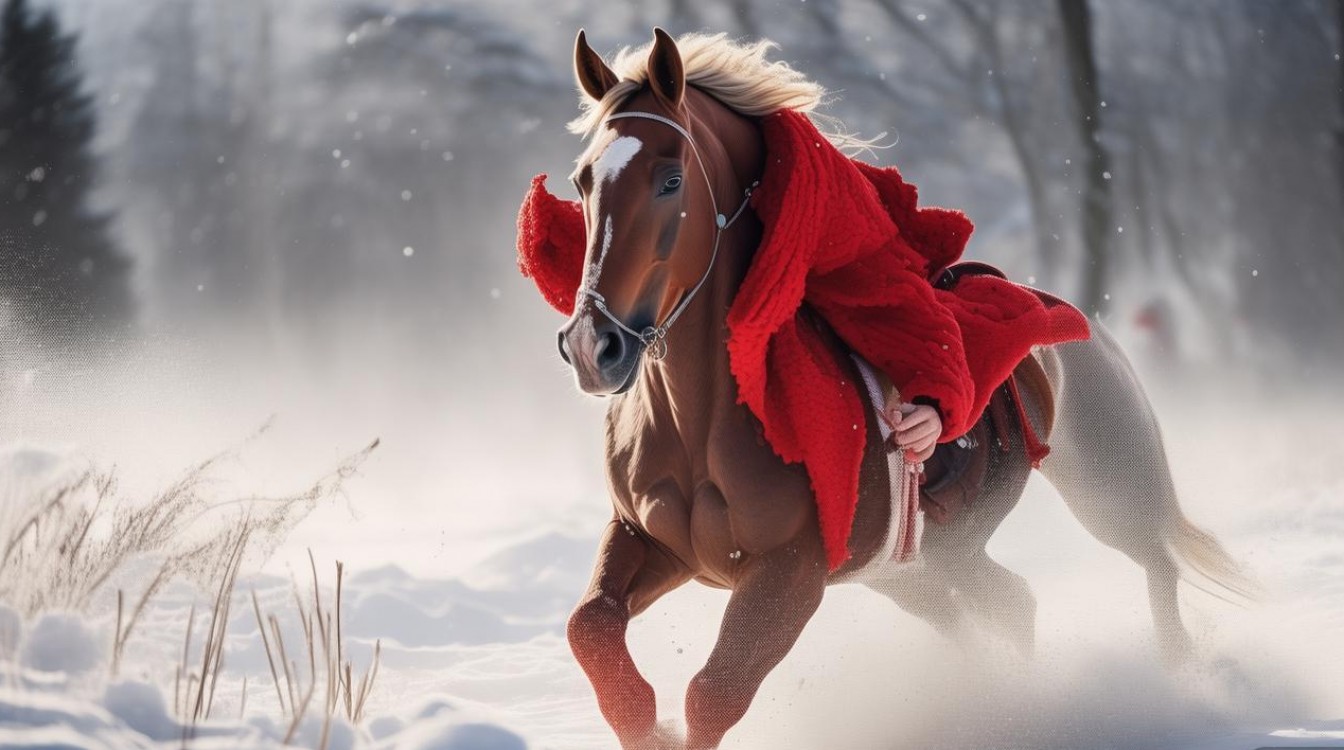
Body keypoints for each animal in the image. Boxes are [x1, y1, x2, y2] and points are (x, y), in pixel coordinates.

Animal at [547, 28, 1250, 750]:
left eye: (670, 179)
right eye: (581, 180)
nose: (592, 346)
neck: (700, 417)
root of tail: (1077, 320)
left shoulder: (787, 571)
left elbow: (714, 691)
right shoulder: (647, 539)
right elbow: (591, 627)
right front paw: (645, 721)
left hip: (1106, 487)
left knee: (1153, 560)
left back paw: (1180, 675)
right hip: (921, 570)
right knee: (1010, 604)